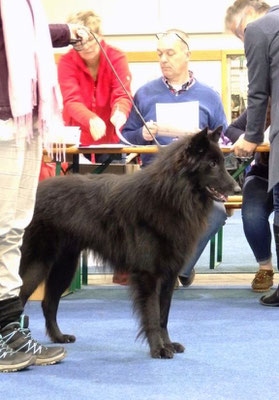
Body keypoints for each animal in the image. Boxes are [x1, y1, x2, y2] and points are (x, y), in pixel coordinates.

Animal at [19, 128, 238, 360]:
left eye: (221, 162)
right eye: (212, 164)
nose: (236, 187)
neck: (170, 196)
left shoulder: (169, 275)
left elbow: (163, 315)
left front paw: (168, 344)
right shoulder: (148, 275)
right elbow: (152, 314)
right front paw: (158, 348)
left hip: (65, 267)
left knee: (48, 303)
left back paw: (59, 337)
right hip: (37, 265)